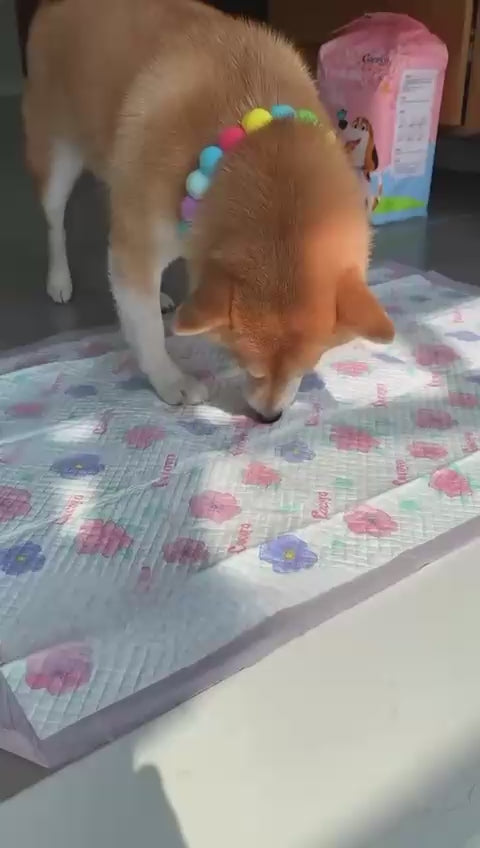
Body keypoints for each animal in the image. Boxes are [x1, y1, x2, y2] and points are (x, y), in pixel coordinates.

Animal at [24, 0, 393, 422]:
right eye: (246, 365)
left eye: (306, 367)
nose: (269, 418)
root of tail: (53, 7)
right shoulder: (138, 243)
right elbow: (148, 330)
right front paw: (171, 381)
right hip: (59, 158)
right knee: (55, 223)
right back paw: (59, 279)